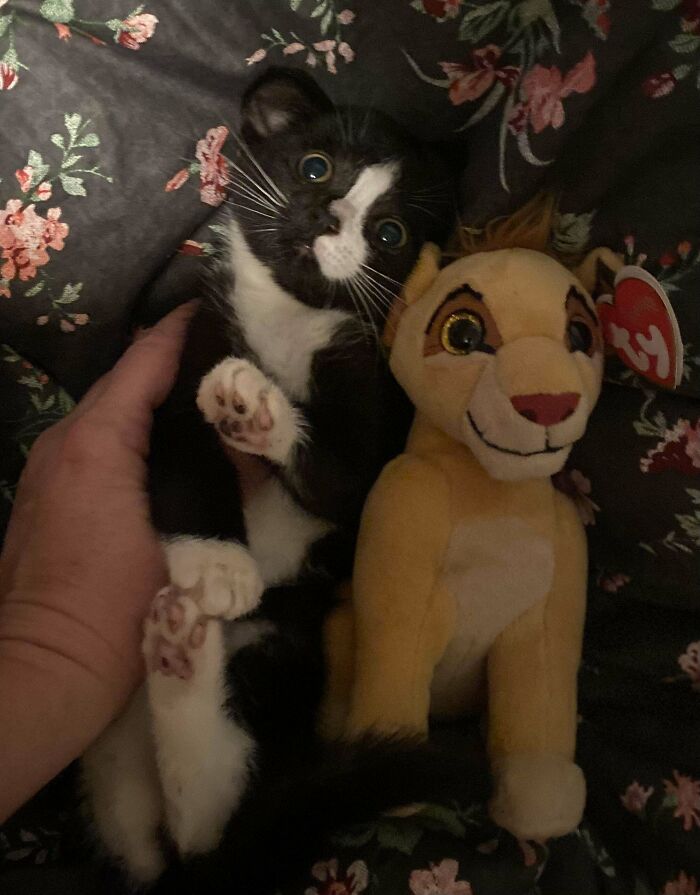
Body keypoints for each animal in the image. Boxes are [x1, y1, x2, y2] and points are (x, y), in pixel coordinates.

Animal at [80, 68, 460, 888]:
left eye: (388, 234)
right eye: (315, 167)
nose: (327, 214)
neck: (287, 313)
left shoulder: (366, 406)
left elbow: (340, 478)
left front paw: (257, 409)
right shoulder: (180, 352)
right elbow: (186, 457)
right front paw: (219, 563)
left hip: (281, 652)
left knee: (207, 820)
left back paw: (182, 657)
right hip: (117, 753)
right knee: (175, 825)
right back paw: (181, 650)